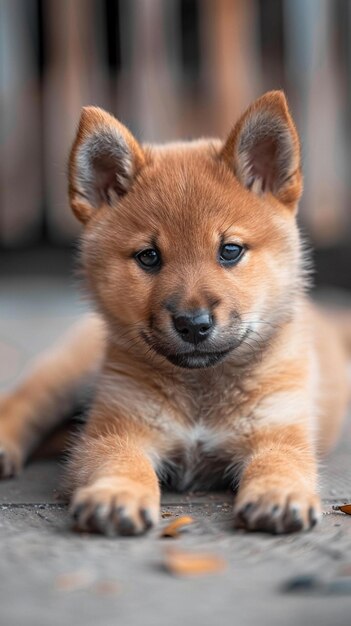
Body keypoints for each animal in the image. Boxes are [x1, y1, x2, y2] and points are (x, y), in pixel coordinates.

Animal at [0, 90, 350, 532]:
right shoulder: (117, 429)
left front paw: (279, 494)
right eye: (149, 257)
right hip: (70, 373)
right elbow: (121, 461)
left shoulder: (279, 428)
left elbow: (280, 462)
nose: (193, 324)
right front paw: (117, 492)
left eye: (230, 250)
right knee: (23, 401)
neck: (201, 391)